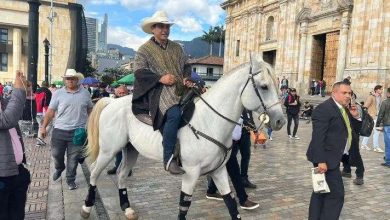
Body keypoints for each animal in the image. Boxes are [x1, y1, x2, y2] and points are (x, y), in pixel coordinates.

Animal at [80, 56, 286, 218]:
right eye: (264, 86)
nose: (280, 120)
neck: (209, 121)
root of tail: (110, 102)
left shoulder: (219, 171)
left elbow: (231, 203)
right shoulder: (190, 174)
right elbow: (183, 207)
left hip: (131, 149)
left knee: (122, 174)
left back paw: (127, 209)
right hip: (109, 150)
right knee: (94, 171)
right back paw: (87, 207)